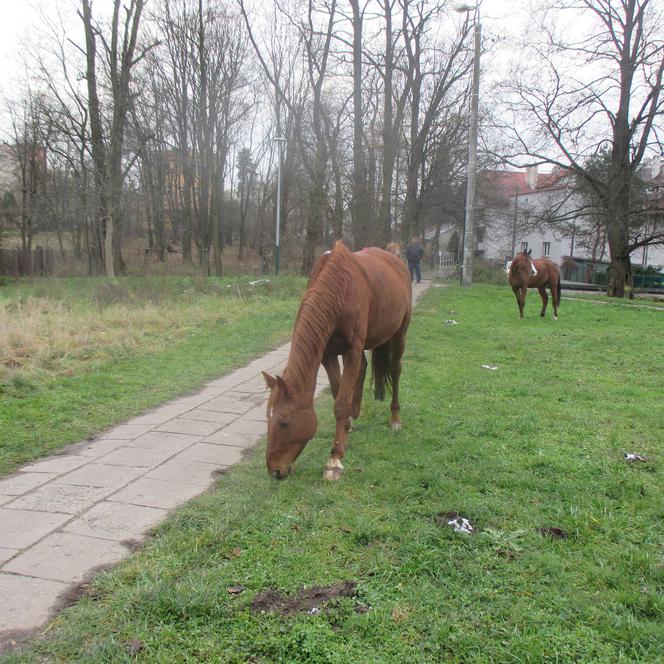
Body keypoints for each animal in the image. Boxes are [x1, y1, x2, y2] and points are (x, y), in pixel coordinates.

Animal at [260, 241, 410, 480]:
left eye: (284, 422)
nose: (275, 470)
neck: (339, 290)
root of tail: (396, 260)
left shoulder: (352, 349)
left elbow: (340, 403)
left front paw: (334, 460)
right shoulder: (327, 353)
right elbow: (337, 391)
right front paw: (347, 427)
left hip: (400, 333)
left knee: (395, 370)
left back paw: (395, 419)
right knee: (364, 367)